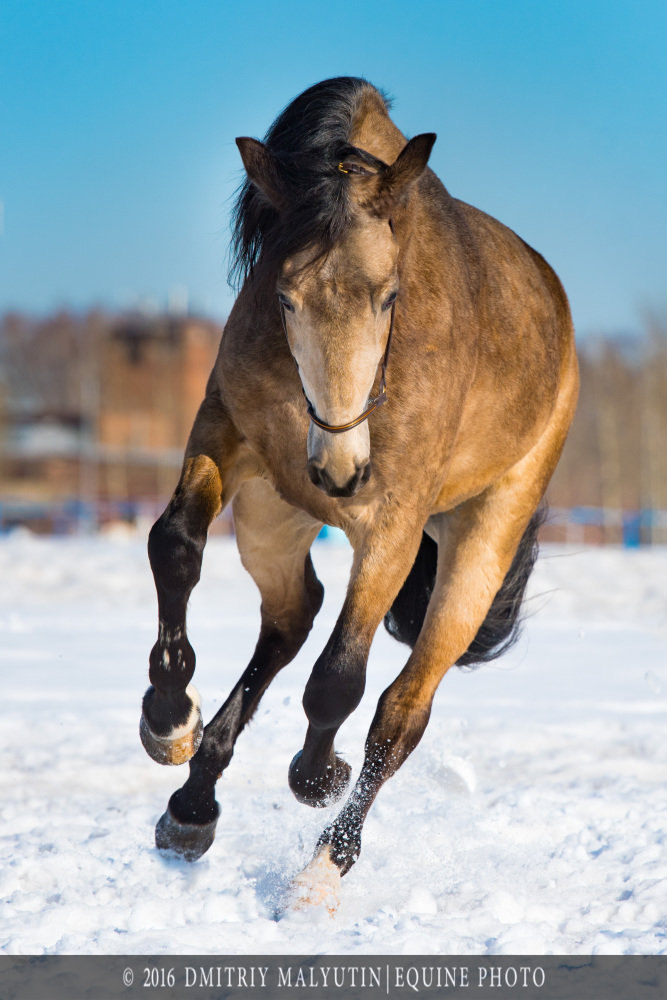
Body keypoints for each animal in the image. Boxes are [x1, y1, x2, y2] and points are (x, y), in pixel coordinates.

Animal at [141, 76, 580, 908]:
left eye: (388, 296)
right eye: (284, 297)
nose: (340, 470)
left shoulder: (394, 525)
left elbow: (338, 682)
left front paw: (316, 776)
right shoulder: (224, 436)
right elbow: (174, 547)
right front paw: (167, 719)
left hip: (481, 538)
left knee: (400, 710)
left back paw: (323, 865)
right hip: (270, 513)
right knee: (291, 616)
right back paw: (192, 802)